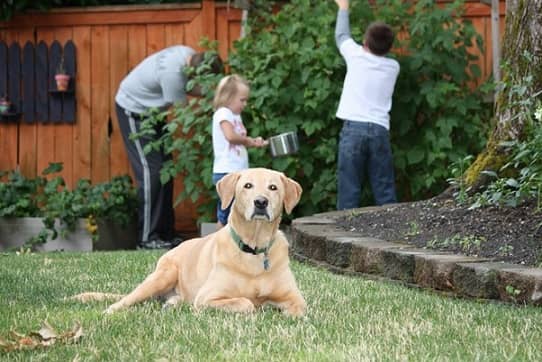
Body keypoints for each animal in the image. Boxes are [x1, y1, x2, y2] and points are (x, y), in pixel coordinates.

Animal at [72, 168, 308, 316]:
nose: (261, 202)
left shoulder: (295, 298)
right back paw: (110, 312)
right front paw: (261, 306)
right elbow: (247, 302)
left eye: (273, 187)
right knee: (126, 300)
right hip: (162, 276)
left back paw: (172, 304)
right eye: (247, 186)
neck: (254, 249)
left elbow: (298, 310)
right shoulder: (207, 298)